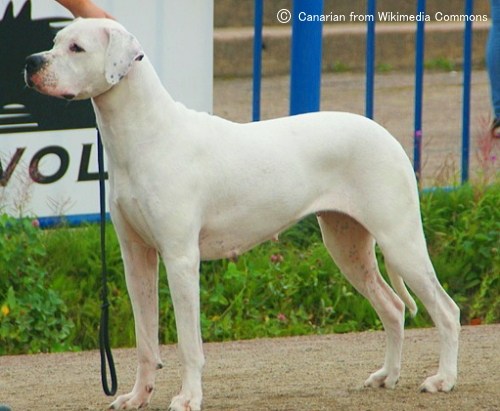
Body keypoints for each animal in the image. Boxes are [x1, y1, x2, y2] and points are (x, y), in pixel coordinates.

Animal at [25, 18, 458, 411]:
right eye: (55, 41)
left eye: (77, 48)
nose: (31, 62)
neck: (145, 135)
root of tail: (386, 134)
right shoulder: (137, 259)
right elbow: (145, 340)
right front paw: (137, 397)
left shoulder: (181, 260)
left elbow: (188, 343)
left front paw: (188, 398)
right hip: (347, 246)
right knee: (393, 308)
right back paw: (387, 376)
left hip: (400, 241)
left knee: (446, 310)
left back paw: (443, 380)